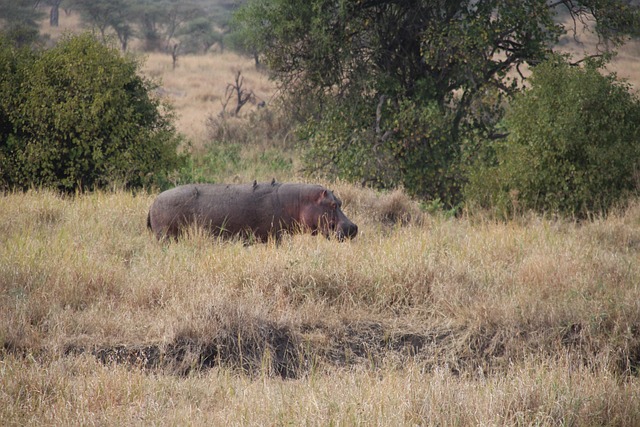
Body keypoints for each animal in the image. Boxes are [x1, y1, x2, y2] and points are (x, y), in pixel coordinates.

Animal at [148, 181, 360, 242]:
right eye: (332, 205)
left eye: (340, 201)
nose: (353, 227)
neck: (299, 201)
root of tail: (153, 202)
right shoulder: (276, 236)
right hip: (165, 235)